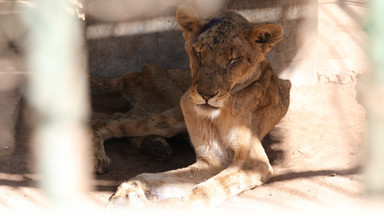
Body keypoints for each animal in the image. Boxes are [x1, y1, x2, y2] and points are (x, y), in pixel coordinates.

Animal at [91, 6, 292, 207]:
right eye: (198, 53)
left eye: (233, 60)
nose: (206, 95)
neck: (217, 116)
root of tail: (133, 74)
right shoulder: (212, 160)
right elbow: (161, 179)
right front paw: (130, 189)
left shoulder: (250, 162)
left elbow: (203, 189)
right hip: (173, 112)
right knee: (105, 120)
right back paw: (100, 157)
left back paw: (155, 146)